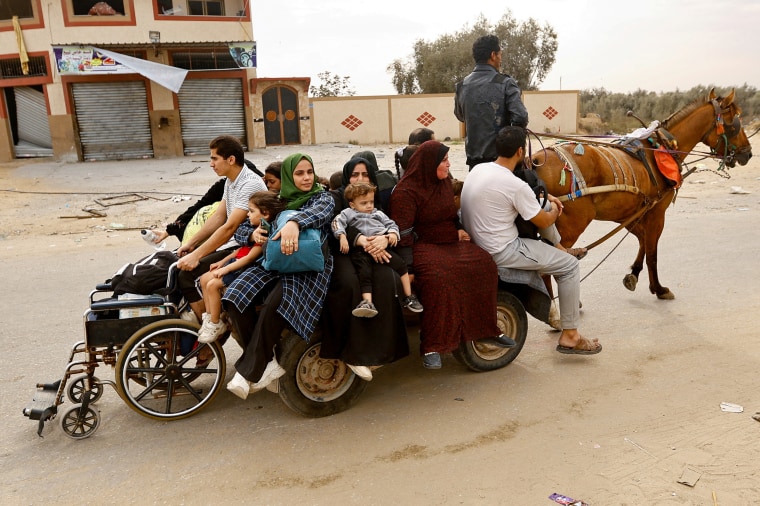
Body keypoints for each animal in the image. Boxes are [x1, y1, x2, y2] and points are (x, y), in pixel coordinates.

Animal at [532, 89, 752, 298]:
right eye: (734, 122)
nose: (748, 153)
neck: (663, 149)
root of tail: (536, 158)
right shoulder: (657, 213)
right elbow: (652, 252)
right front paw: (658, 288)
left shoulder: (631, 213)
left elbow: (643, 241)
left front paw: (633, 274)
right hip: (573, 224)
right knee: (547, 268)